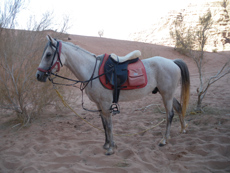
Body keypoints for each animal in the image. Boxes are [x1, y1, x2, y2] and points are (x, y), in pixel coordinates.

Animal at [36, 35, 190, 155]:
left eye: (48, 54)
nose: (38, 75)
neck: (92, 71)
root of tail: (172, 62)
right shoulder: (99, 105)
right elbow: (104, 125)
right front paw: (107, 144)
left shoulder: (105, 105)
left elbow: (109, 126)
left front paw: (111, 148)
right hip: (167, 94)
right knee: (178, 107)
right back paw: (183, 129)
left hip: (166, 95)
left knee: (170, 114)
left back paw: (164, 140)